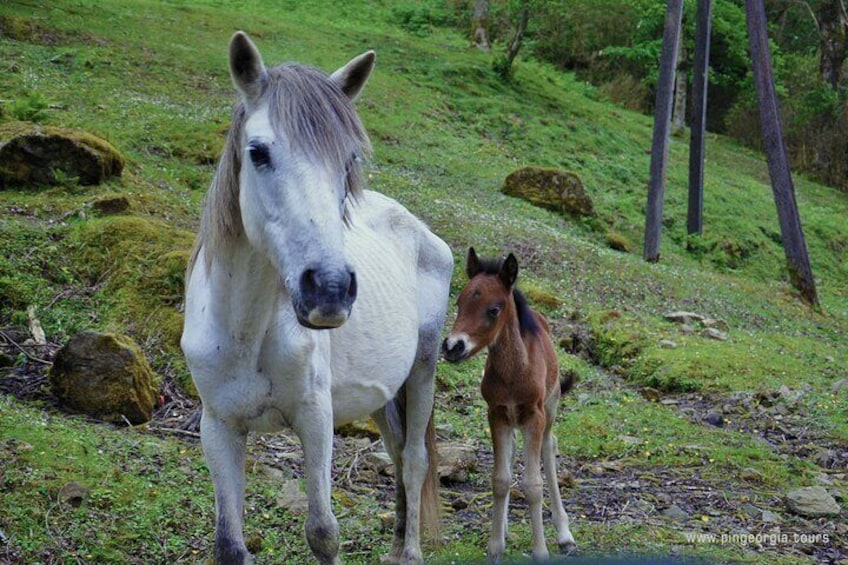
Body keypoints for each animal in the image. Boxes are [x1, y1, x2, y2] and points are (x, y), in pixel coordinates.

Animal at [182, 32, 454, 564]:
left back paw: (409, 552)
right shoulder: (219, 428)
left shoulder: (315, 418)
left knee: (414, 460)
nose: (329, 289)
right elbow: (229, 545)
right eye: (258, 152)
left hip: (423, 369)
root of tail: (420, 229)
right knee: (397, 455)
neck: (245, 332)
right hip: (384, 394)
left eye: (348, 161)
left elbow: (323, 532)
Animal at [440, 249, 572, 560]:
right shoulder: (496, 413)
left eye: (494, 310)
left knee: (549, 447)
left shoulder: (534, 415)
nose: (452, 347)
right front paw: (495, 547)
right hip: (512, 420)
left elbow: (533, 484)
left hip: (550, 409)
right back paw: (505, 528)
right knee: (511, 454)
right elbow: (500, 479)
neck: (514, 372)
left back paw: (564, 533)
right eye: (460, 302)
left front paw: (540, 551)